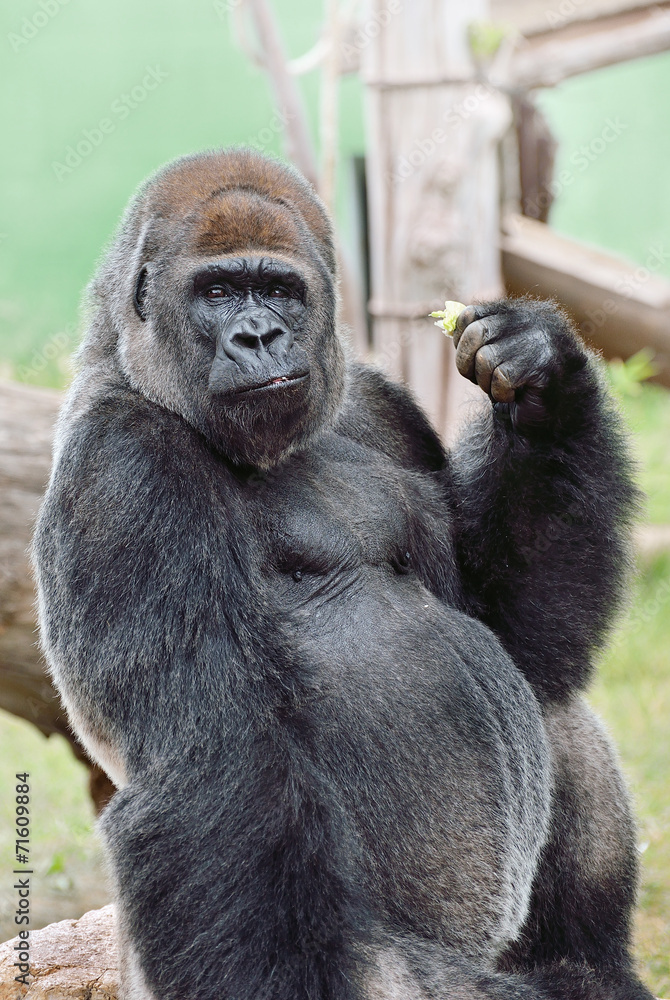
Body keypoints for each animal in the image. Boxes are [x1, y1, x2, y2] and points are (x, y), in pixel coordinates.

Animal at [32, 148, 654, 1000]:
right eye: (216, 291)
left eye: (280, 291)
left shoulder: (379, 401)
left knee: (553, 700)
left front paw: (542, 381)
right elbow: (211, 762)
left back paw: (588, 964)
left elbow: (513, 627)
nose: (258, 336)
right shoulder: (124, 472)